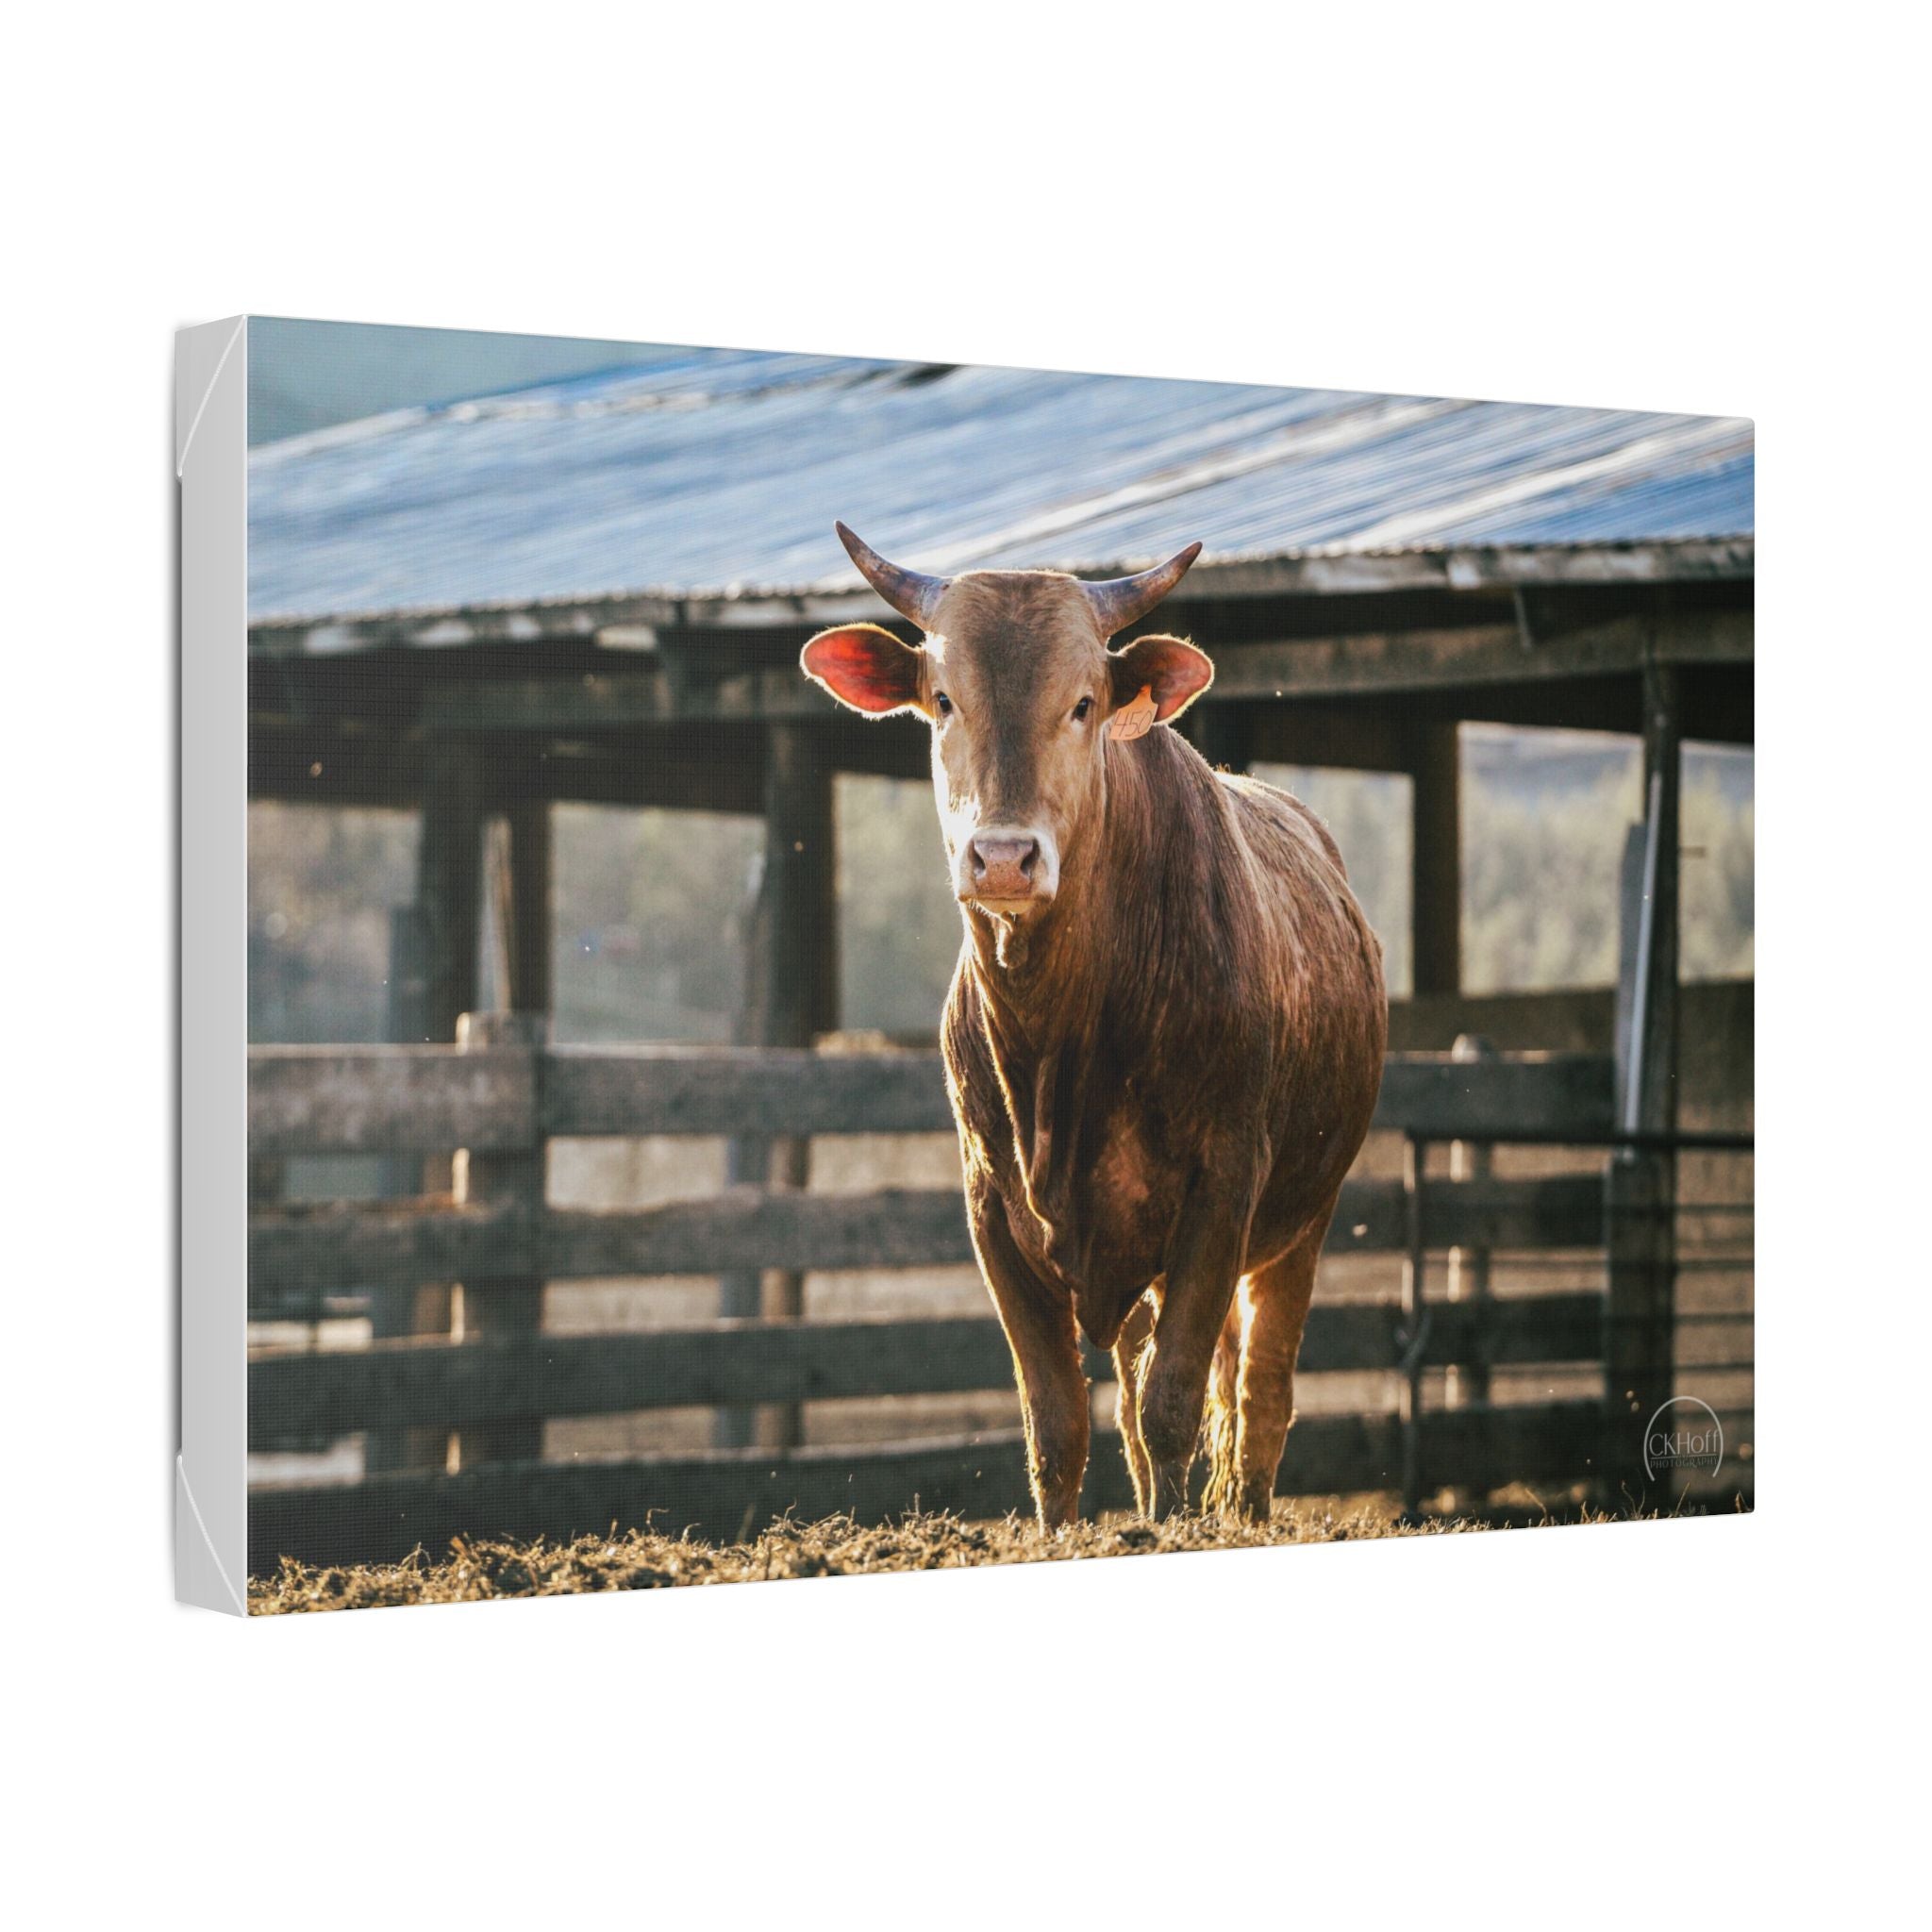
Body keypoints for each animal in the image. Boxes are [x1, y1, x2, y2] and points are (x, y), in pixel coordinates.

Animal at [801, 524, 1387, 1528]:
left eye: (1082, 703)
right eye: (942, 699)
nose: (1002, 857)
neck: (1061, 1040)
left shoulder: (1223, 1186)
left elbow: (1173, 1402)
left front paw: (1172, 1529)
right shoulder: (993, 1210)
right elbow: (1059, 1421)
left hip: (1300, 1223)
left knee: (1258, 1393)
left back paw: (1237, 1511)